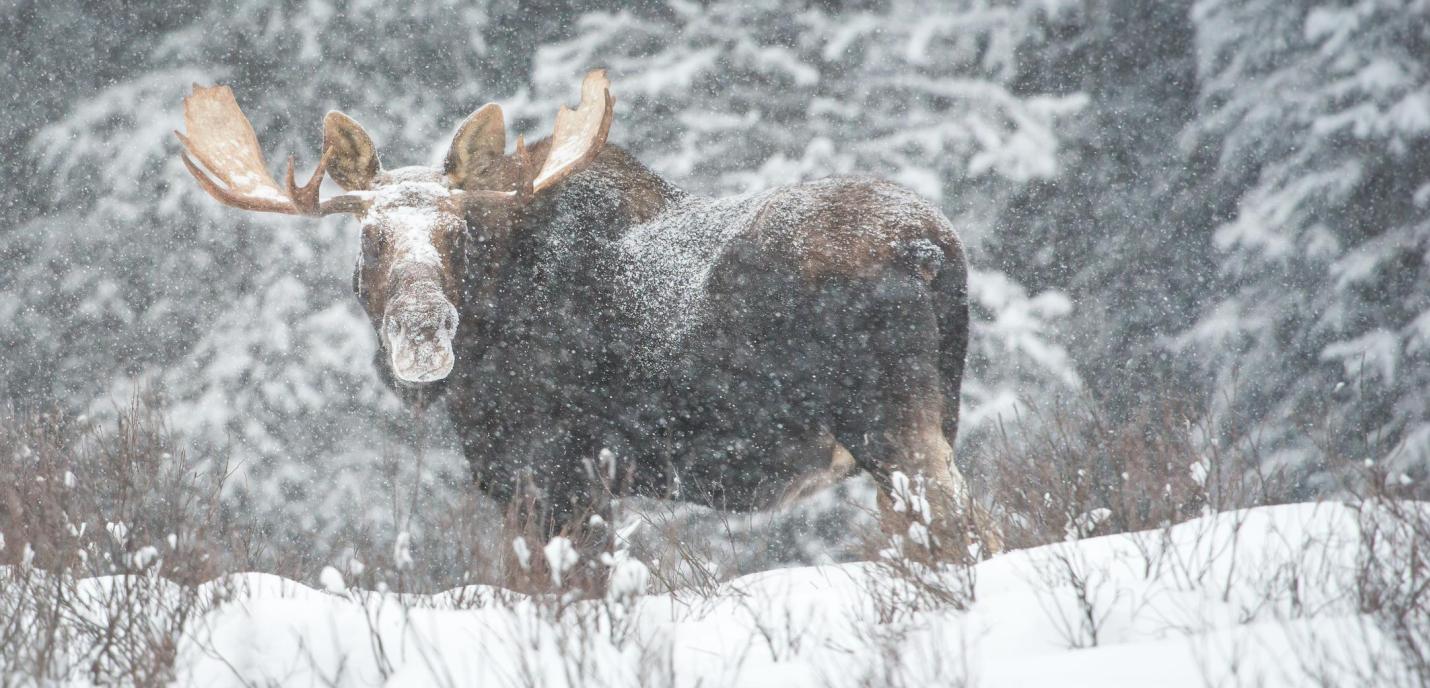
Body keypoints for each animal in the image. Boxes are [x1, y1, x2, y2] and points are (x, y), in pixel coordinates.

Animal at [178, 69, 1000, 563]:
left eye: (456, 233)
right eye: (370, 236)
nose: (423, 329)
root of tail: (932, 247)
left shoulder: (544, 467)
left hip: (885, 420)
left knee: (960, 524)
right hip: (934, 415)